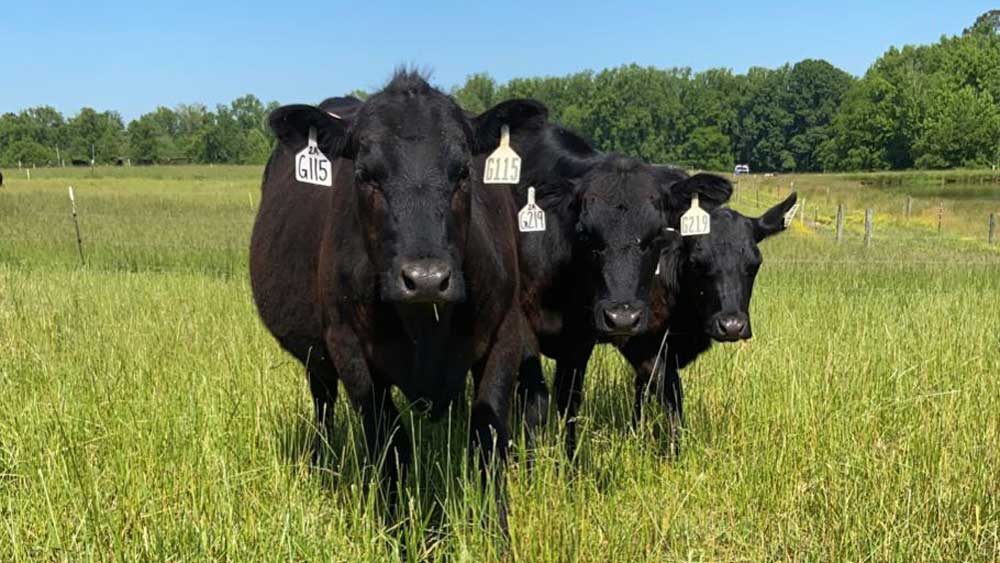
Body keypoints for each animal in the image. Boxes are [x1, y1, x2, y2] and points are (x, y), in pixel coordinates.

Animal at [247, 69, 552, 528]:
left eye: (464, 171)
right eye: (365, 174)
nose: (426, 279)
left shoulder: (505, 334)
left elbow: (488, 437)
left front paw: (495, 528)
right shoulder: (348, 348)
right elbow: (389, 445)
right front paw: (399, 528)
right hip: (318, 355)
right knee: (323, 402)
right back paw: (321, 462)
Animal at [616, 189, 796, 454]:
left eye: (755, 263)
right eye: (695, 263)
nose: (732, 326)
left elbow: (643, 390)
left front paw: (635, 434)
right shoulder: (640, 344)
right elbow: (671, 393)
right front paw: (674, 452)